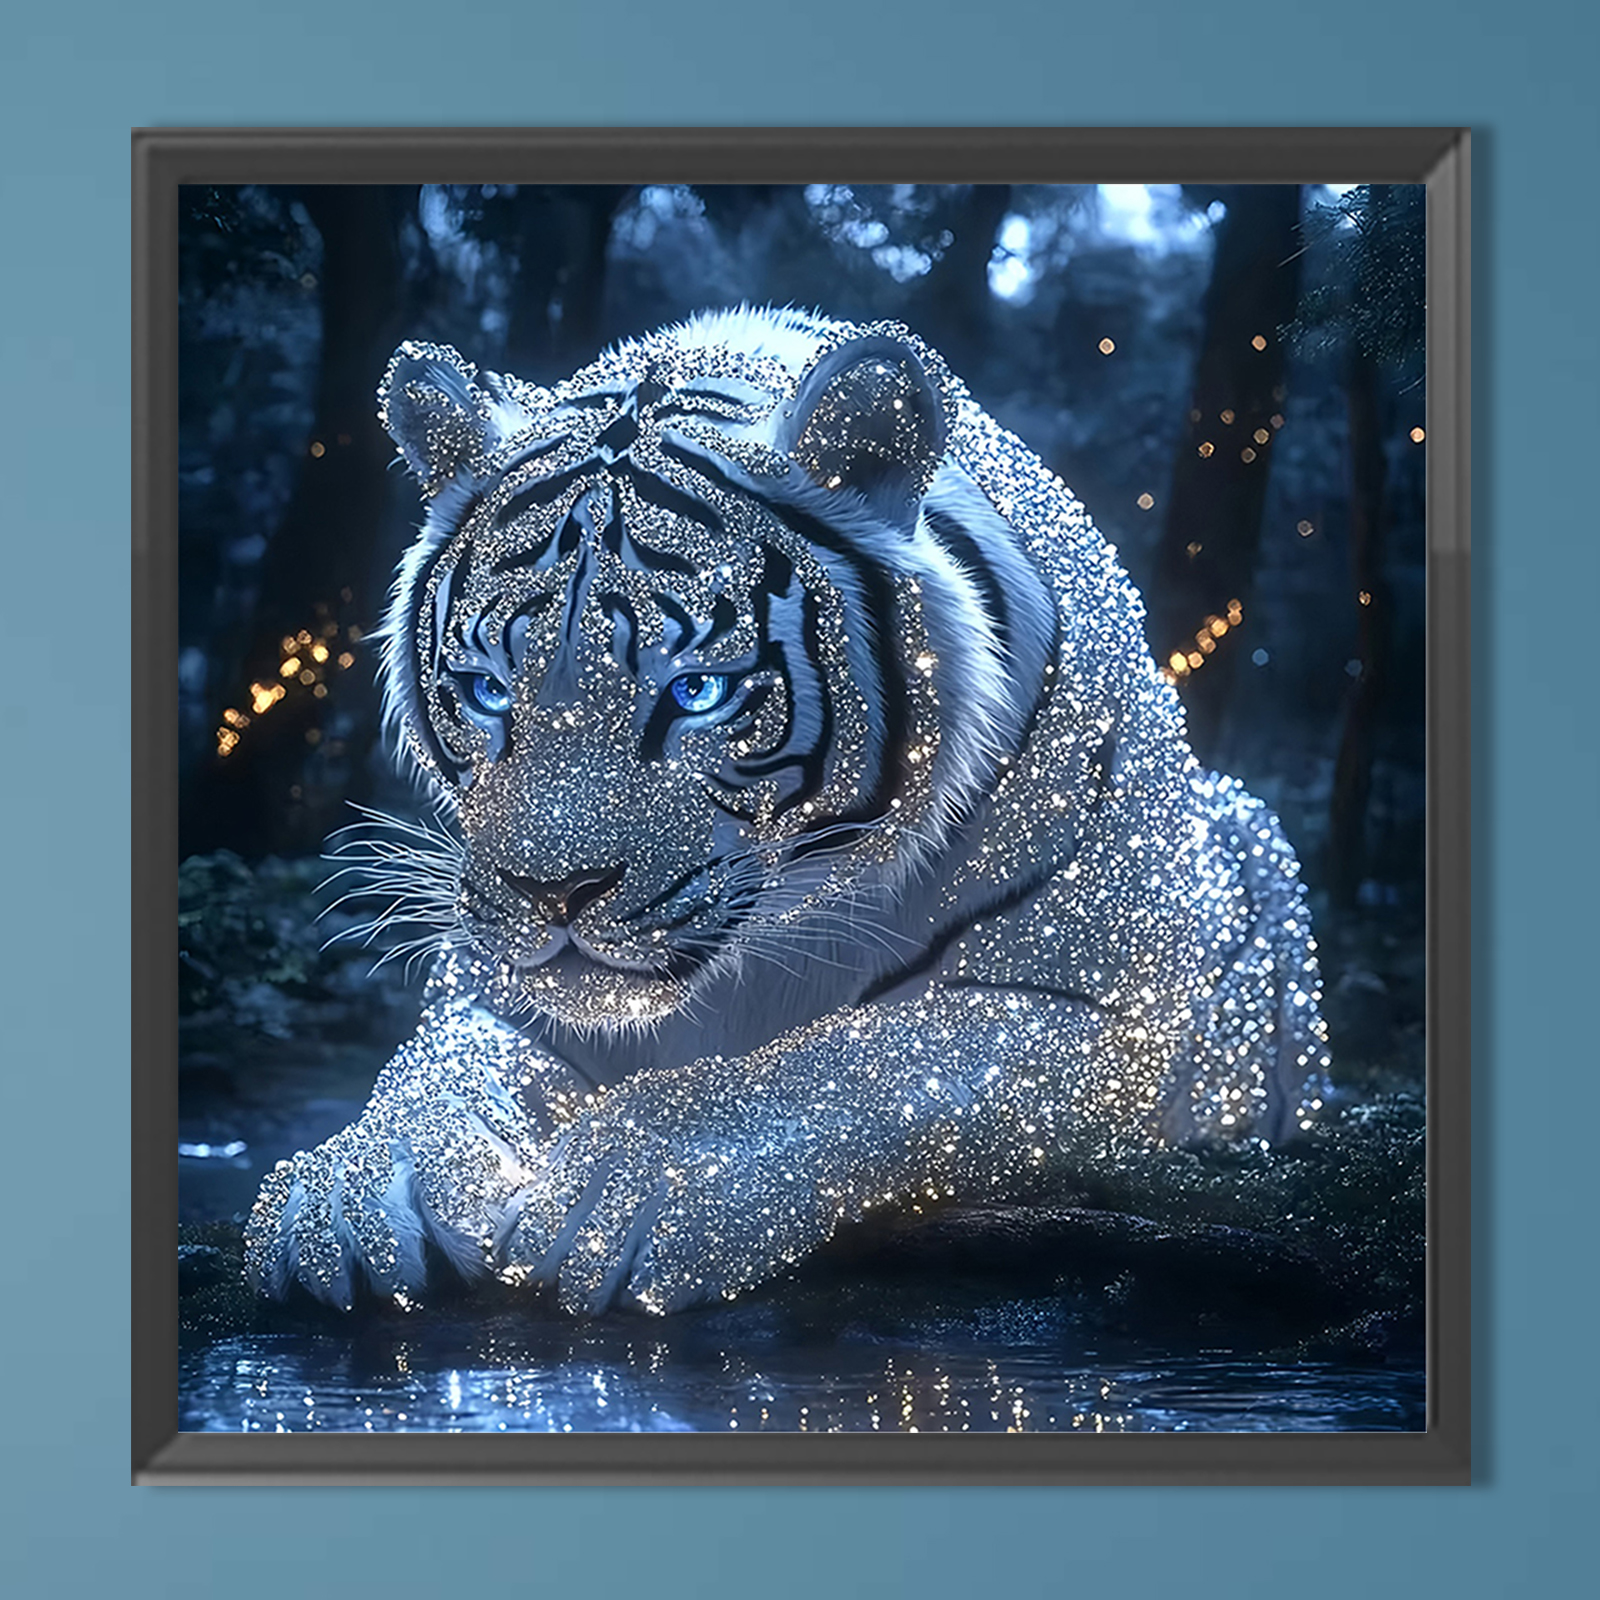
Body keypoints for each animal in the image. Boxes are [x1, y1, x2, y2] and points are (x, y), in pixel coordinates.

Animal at [244, 306, 1330, 1317]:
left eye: (696, 692)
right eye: (486, 689)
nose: (552, 894)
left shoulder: (1111, 1010)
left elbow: (869, 1060)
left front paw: (631, 1188)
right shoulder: (492, 989)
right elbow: (439, 1075)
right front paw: (346, 1192)